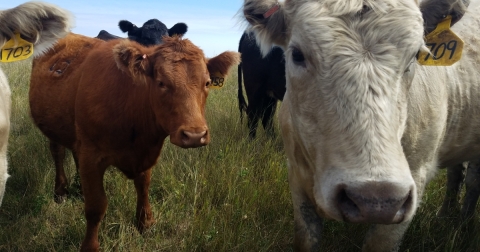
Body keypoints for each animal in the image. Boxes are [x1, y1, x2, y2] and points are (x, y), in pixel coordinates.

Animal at [30, 32, 240, 251]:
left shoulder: (145, 152)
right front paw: (90, 246)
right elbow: (96, 206)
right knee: (58, 152)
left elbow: (143, 187)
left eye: (207, 83)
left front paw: (145, 223)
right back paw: (60, 191)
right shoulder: (91, 155)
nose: (194, 135)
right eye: (161, 83)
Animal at [244, 0, 480, 250]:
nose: (375, 200)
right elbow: (307, 237)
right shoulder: (297, 175)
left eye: (416, 55)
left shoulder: (414, 177)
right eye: (297, 54)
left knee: (472, 181)